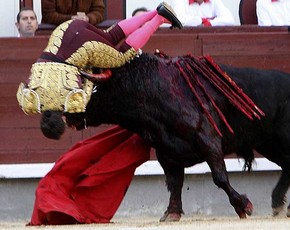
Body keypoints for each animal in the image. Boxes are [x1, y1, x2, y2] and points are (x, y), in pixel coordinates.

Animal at [63, 51, 290, 221]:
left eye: (90, 88)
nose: (66, 115)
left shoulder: (209, 142)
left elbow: (219, 177)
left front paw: (244, 206)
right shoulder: (166, 153)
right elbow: (174, 182)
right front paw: (171, 213)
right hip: (268, 144)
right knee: (287, 165)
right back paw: (278, 204)